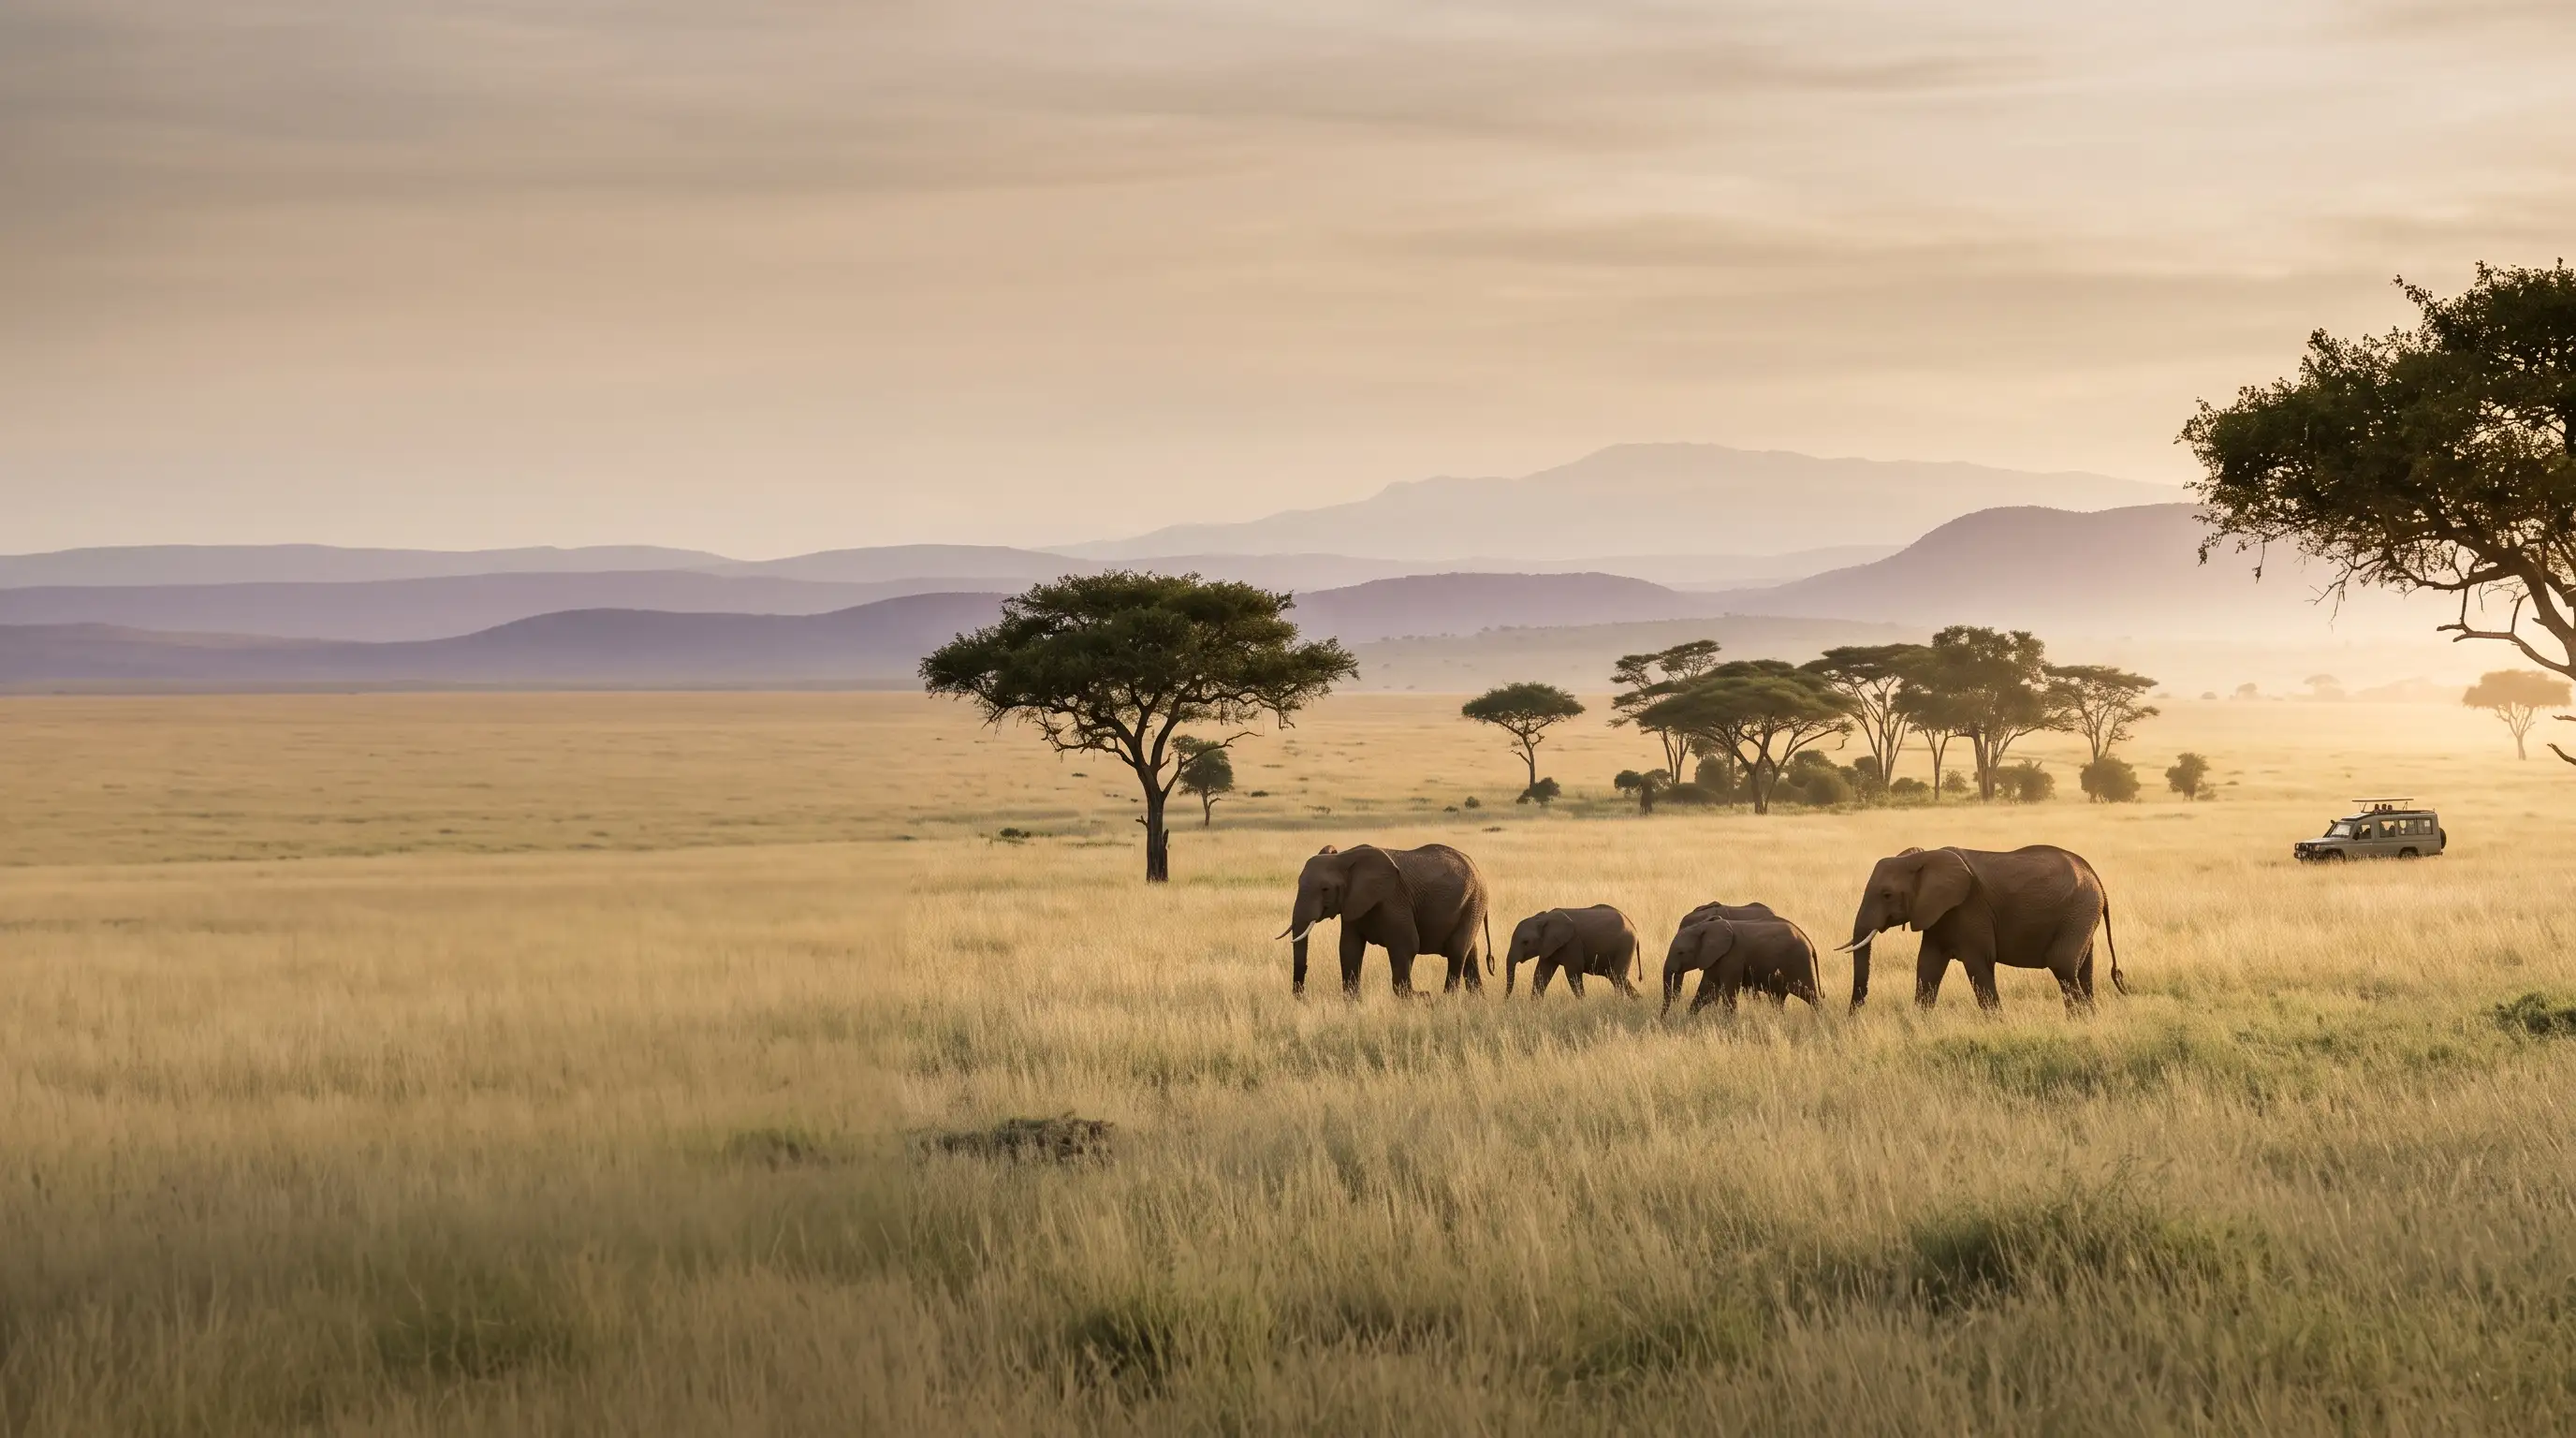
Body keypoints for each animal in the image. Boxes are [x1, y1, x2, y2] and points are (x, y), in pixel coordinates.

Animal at [1280, 844, 1493, 999]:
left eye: (1325, 889)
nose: (1301, 997)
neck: (1345, 857)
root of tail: (1477, 869)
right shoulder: (1353, 904)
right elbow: (1349, 948)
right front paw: (1353, 1005)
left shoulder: (1393, 900)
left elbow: (1406, 945)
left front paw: (1423, 998)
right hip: (1472, 903)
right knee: (1470, 954)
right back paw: (1477, 1003)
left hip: (1474, 901)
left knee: (1457, 951)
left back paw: (1447, 1002)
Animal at [1502, 905, 1641, 998]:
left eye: (1525, 942)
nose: (1506, 1001)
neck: (1543, 918)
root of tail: (1634, 928)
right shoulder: (1548, 946)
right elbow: (1541, 974)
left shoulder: (1572, 943)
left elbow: (1573, 973)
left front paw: (1583, 1004)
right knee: (1617, 978)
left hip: (1625, 947)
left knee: (1618, 978)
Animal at [1662, 916, 1822, 1016]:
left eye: (1681, 952)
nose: (1663, 1020)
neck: (1705, 926)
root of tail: (1809, 942)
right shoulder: (1713, 958)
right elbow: (1706, 991)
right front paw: (1688, 1020)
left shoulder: (1732, 957)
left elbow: (1728, 992)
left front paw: (1729, 1024)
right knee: (1778, 999)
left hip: (1800, 963)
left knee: (1809, 995)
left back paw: (1818, 1022)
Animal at [1841, 844, 2127, 1013]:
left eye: (1887, 895)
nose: (1855, 1017)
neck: (1924, 856)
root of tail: (2097, 879)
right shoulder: (1938, 914)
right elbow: (1928, 966)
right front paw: (1920, 1024)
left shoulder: (1970, 909)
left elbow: (1978, 964)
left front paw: (1998, 1025)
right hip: (2082, 916)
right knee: (2083, 970)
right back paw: (2088, 1021)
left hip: (2077, 913)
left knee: (2063, 966)